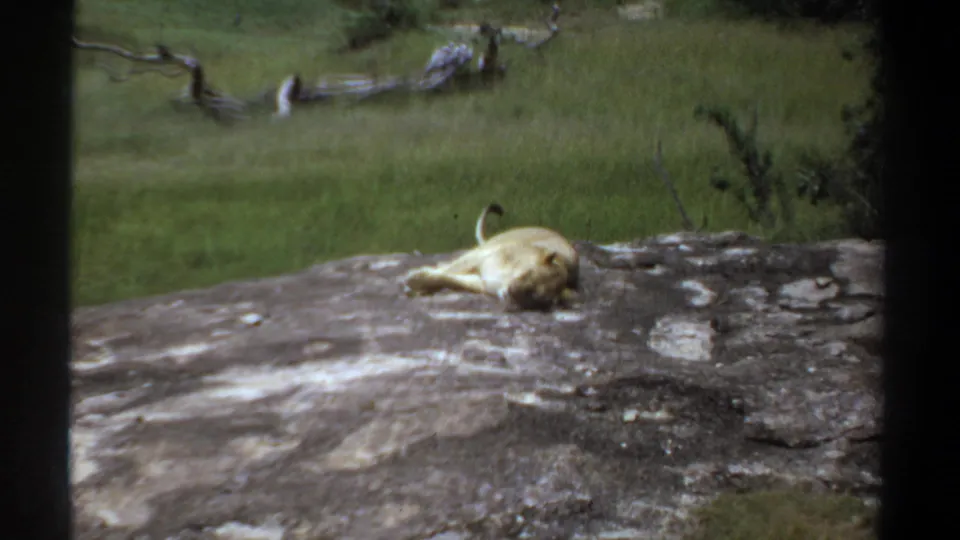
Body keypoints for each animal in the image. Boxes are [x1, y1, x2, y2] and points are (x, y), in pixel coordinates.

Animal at [403, 203, 581, 311]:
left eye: (536, 298)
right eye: (527, 274)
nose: (512, 292)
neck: (507, 277)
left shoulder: (482, 282)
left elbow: (449, 279)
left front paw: (418, 283)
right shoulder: (482, 255)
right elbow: (449, 271)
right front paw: (415, 279)